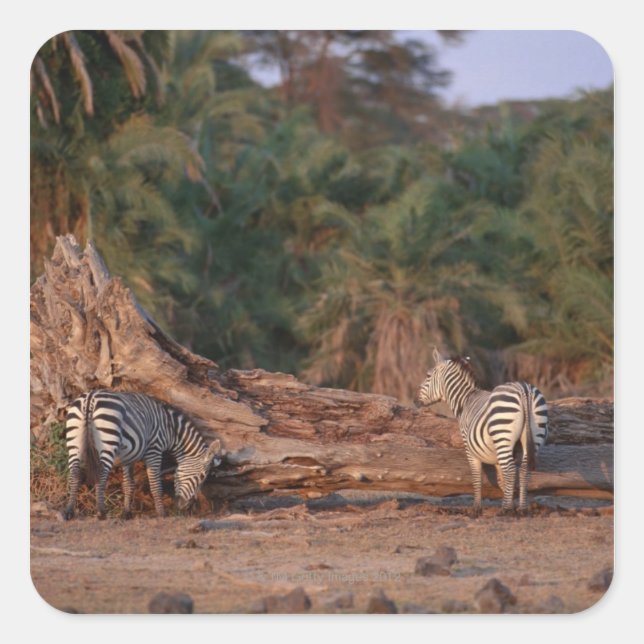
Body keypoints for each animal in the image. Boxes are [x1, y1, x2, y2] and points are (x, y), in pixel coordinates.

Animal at [63, 390, 223, 520]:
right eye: (202, 477)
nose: (187, 507)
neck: (171, 429)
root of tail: (90, 397)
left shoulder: (128, 457)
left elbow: (128, 484)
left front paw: (126, 513)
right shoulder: (154, 450)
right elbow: (155, 484)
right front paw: (162, 513)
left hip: (74, 439)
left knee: (74, 473)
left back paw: (69, 511)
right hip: (108, 439)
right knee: (101, 473)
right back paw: (101, 512)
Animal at [415, 348, 548, 516]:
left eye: (427, 376)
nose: (415, 400)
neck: (465, 400)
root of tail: (524, 389)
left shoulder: (469, 448)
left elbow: (476, 476)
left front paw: (477, 508)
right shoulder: (497, 455)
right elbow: (502, 479)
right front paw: (510, 501)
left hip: (503, 434)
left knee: (511, 470)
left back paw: (504, 511)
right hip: (534, 435)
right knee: (524, 470)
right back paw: (522, 509)